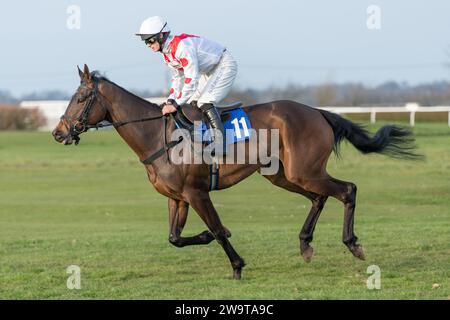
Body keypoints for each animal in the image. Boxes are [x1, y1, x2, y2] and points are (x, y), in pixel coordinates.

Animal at [52, 65, 422, 280]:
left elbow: (217, 229)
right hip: (283, 175)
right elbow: (175, 238)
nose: (58, 132)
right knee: (319, 197)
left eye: (81, 97)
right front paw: (205, 239)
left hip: (304, 171)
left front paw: (237, 265)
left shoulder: (196, 192)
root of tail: (317, 112)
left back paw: (352, 244)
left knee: (347, 190)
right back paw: (305, 244)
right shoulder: (177, 197)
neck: (158, 135)